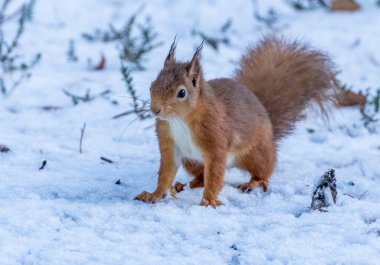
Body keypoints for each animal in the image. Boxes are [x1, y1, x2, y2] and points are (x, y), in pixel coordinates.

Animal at [135, 36, 334, 207]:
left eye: (181, 92)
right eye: (152, 86)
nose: (155, 110)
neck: (180, 120)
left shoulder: (215, 140)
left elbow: (215, 174)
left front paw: (209, 201)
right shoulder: (169, 144)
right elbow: (165, 173)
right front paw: (154, 195)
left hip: (255, 153)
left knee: (264, 169)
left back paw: (253, 183)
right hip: (191, 161)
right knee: (203, 175)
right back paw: (191, 183)